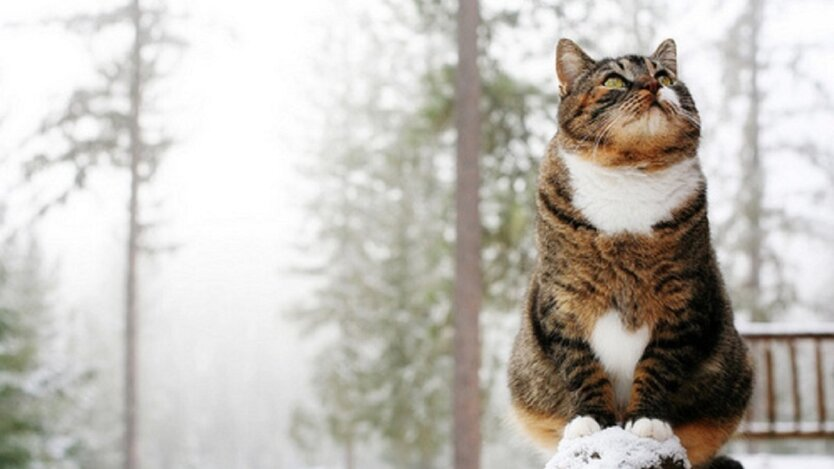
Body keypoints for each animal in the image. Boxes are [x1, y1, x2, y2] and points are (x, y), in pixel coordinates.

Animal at [508, 40, 752, 468]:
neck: (630, 174)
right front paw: (590, 420)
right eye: (614, 81)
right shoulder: (564, 299)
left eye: (665, 77)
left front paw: (648, 420)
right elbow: (580, 364)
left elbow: (660, 363)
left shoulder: (682, 298)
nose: (652, 86)